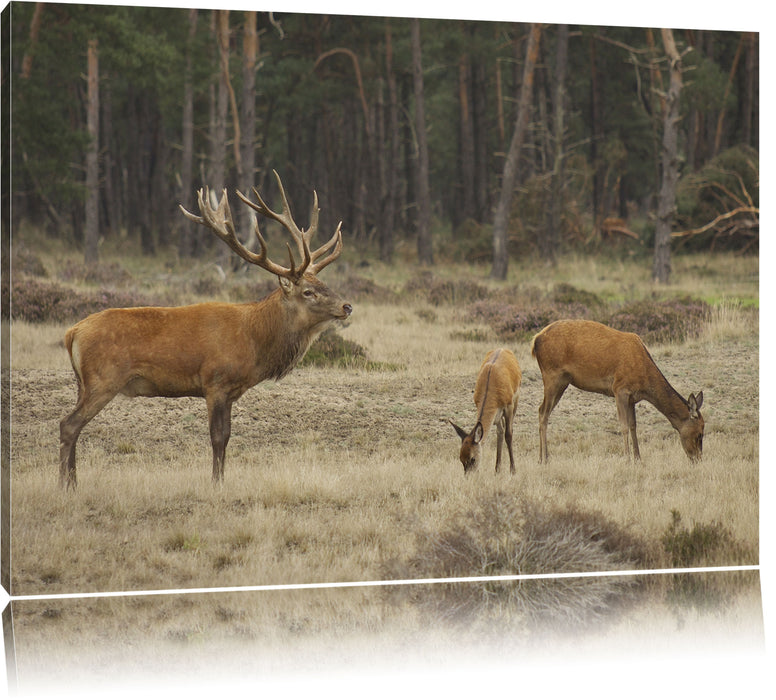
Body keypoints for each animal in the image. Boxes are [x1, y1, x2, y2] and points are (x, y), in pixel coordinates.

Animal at [60, 171, 352, 486]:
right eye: (308, 292)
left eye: (324, 284)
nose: (347, 306)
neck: (255, 342)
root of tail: (72, 333)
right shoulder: (215, 382)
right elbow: (218, 438)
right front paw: (216, 482)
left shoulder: (231, 391)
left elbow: (228, 436)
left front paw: (221, 479)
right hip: (104, 379)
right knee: (69, 424)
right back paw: (66, 484)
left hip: (83, 383)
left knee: (73, 425)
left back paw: (72, 482)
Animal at [532, 320, 704, 462]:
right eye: (699, 433)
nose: (697, 459)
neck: (644, 379)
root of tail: (535, 339)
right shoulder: (619, 389)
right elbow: (624, 426)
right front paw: (627, 459)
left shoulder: (632, 397)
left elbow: (633, 425)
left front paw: (638, 458)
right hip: (552, 376)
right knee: (543, 412)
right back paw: (544, 459)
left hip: (563, 382)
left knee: (542, 411)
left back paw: (542, 457)